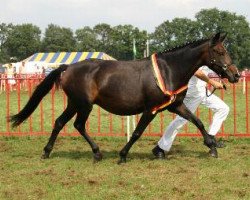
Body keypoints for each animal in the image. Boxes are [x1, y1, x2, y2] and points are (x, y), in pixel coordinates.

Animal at [10, 32, 240, 163]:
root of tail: (67, 68)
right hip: (84, 104)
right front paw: (122, 155)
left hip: (75, 103)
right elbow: (137, 132)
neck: (169, 70)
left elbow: (197, 121)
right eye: (220, 51)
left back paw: (48, 152)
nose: (235, 75)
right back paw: (95, 153)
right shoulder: (150, 109)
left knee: (60, 122)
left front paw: (212, 147)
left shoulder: (176, 105)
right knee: (77, 125)